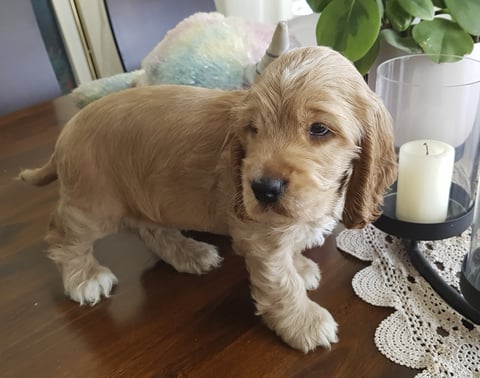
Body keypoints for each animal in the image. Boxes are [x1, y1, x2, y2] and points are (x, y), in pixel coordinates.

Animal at [20, 46, 396, 352]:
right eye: (254, 130)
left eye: (319, 129)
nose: (263, 188)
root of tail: (68, 130)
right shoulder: (259, 237)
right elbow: (281, 283)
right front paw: (303, 321)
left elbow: (290, 255)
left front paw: (300, 265)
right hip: (94, 204)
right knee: (62, 235)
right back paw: (84, 278)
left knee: (150, 230)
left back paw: (190, 253)